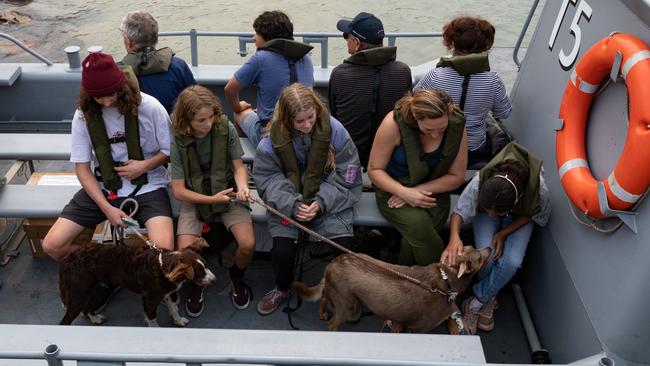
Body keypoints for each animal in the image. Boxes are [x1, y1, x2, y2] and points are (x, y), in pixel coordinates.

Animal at [58, 239, 215, 328]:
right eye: (199, 272)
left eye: (206, 265)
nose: (214, 279)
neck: (163, 266)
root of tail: (67, 259)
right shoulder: (149, 299)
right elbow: (152, 318)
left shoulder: (169, 292)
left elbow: (174, 308)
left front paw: (178, 320)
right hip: (80, 293)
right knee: (65, 321)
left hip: (93, 290)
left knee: (86, 308)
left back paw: (95, 318)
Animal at [292, 246, 488, 332]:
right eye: (479, 256)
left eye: (471, 247)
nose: (490, 247)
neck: (446, 279)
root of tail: (331, 263)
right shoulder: (419, 328)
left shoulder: (398, 321)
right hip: (347, 305)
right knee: (333, 323)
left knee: (324, 296)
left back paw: (322, 313)